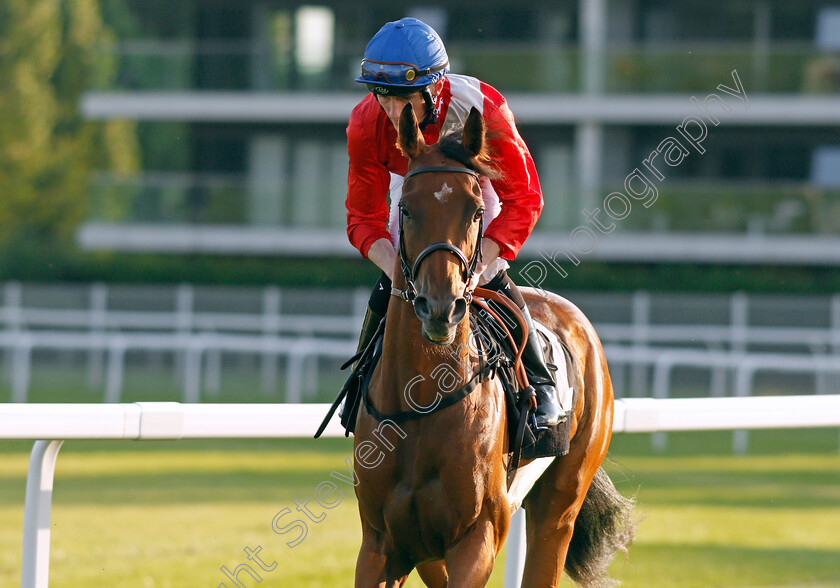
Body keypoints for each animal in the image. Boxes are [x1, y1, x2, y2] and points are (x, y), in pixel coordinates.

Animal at [350, 103, 636, 584]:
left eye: (475, 210)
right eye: (405, 209)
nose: (440, 307)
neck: (422, 405)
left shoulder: (478, 536)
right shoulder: (382, 544)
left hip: (561, 501)